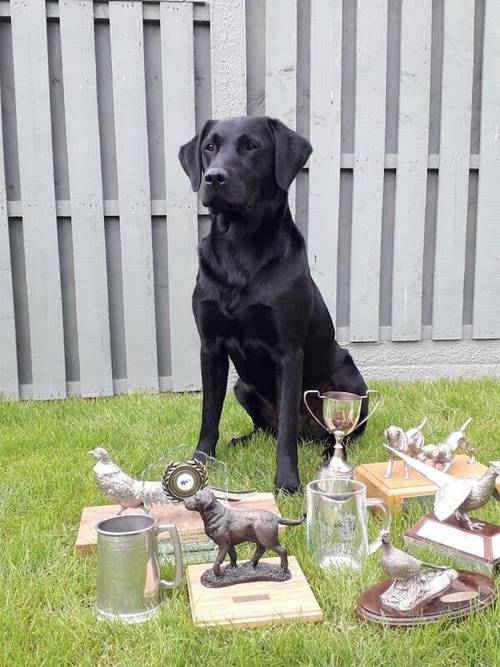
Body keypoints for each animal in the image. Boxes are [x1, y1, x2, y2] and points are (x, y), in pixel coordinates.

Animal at [179, 115, 368, 494]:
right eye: (210, 147)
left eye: (252, 146)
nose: (214, 177)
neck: (239, 248)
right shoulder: (210, 347)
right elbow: (209, 415)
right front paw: (199, 465)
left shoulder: (288, 352)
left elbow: (286, 432)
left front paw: (287, 481)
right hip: (242, 387)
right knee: (266, 427)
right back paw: (244, 440)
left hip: (351, 381)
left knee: (324, 434)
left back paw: (328, 454)